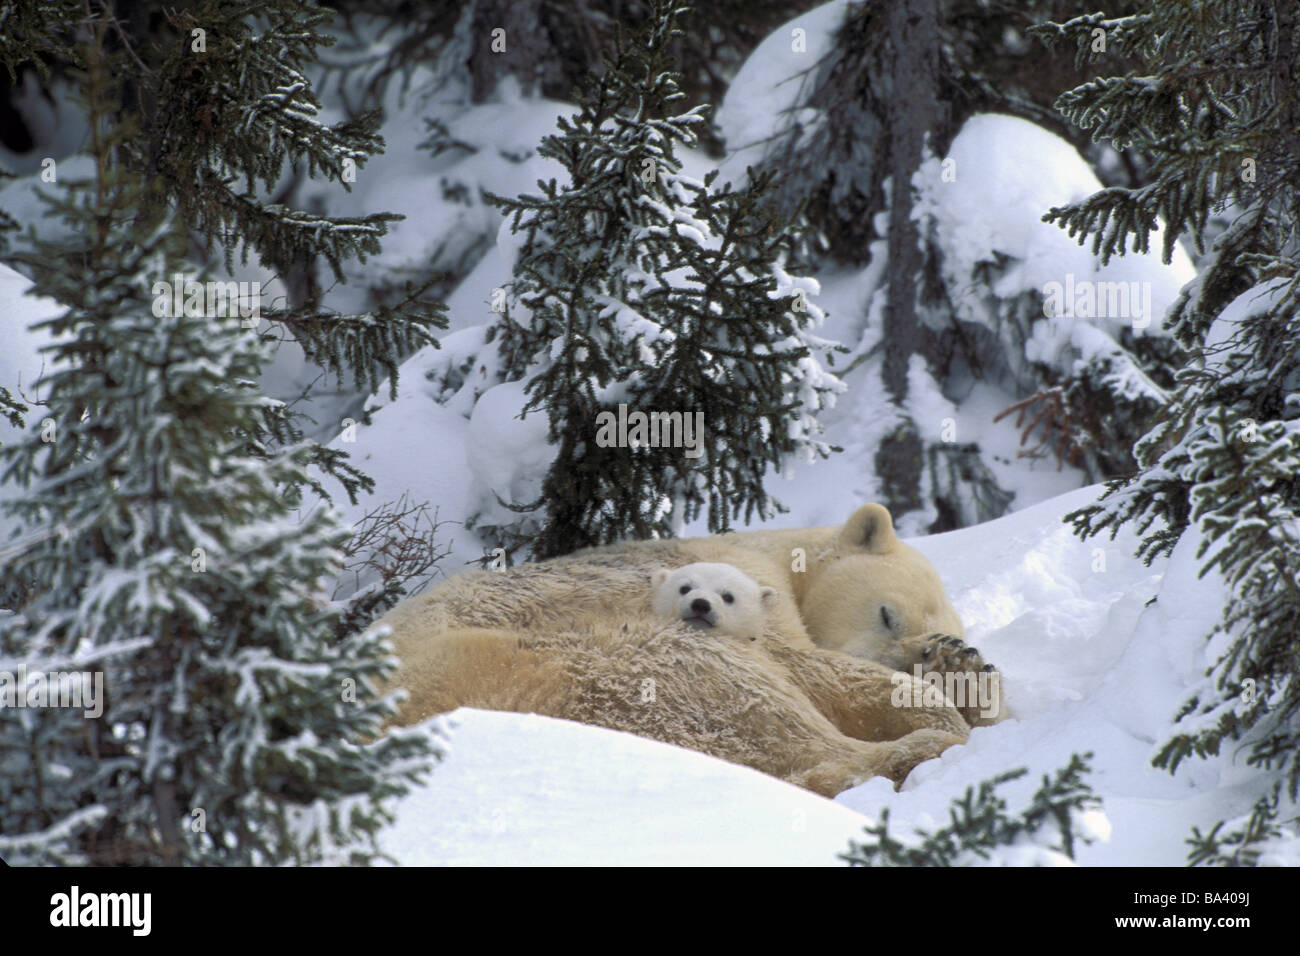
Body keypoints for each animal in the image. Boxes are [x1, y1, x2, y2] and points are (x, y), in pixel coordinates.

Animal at [371, 504, 998, 796]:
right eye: (887, 613)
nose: (920, 650)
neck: (775, 555)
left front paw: (960, 663)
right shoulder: (741, 594)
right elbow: (811, 668)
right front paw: (936, 699)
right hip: (565, 666)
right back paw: (919, 748)